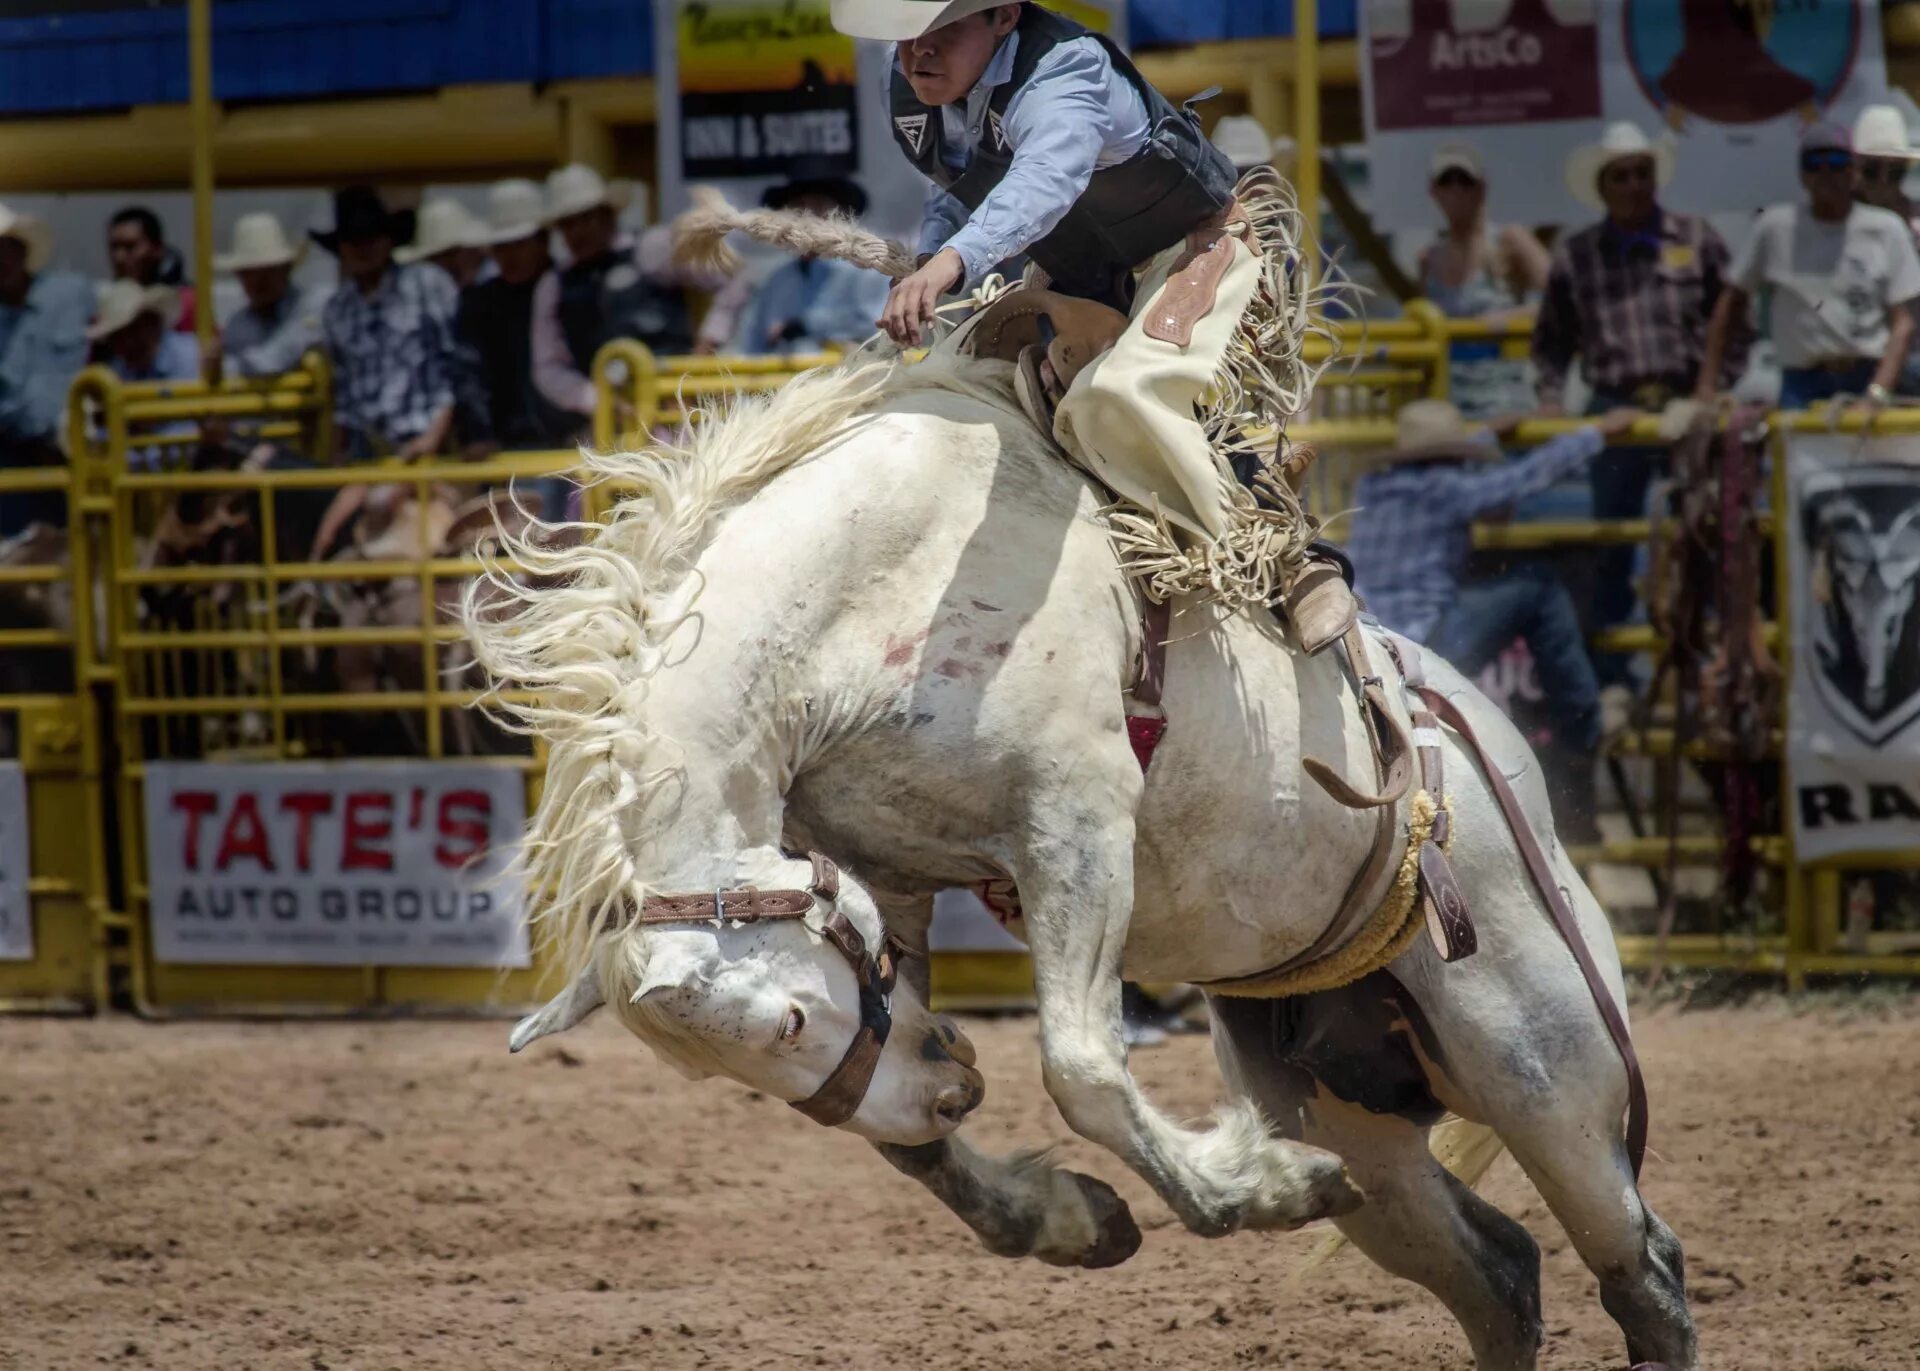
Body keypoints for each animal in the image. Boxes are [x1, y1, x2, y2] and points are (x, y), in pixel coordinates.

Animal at [468, 353, 1697, 1367]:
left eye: (784, 1025)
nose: (953, 1084)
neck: (873, 586)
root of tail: (1490, 755)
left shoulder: (1078, 826)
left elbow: (1083, 1070)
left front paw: (1256, 1190)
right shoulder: (888, 876)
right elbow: (914, 1138)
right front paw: (1074, 1220)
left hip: (1544, 1066)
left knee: (1641, 1270)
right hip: (1354, 1115)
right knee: (1499, 1276)